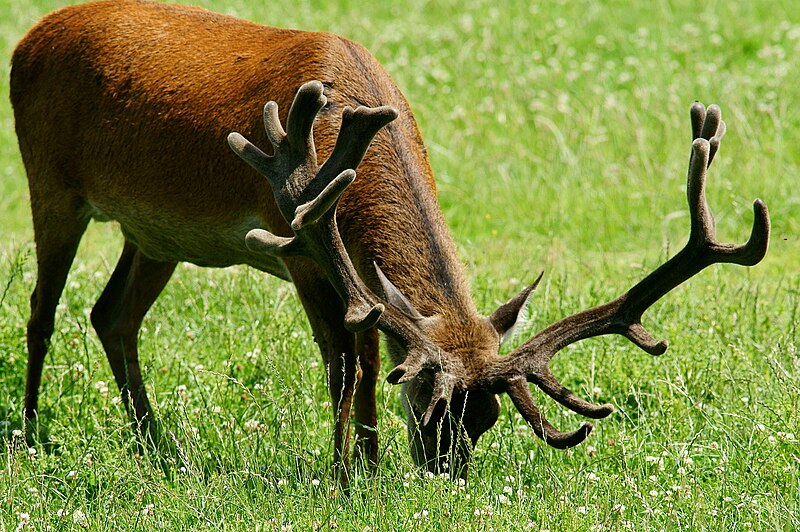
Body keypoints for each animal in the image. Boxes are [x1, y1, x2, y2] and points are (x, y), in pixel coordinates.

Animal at [10, 1, 768, 482]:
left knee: (112, 314)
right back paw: (30, 434)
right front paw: (349, 474)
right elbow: (346, 363)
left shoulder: (353, 281)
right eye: (431, 407)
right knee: (41, 311)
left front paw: (368, 468)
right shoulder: (299, 243)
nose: (445, 475)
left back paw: (156, 448)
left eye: (486, 418)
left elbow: (369, 355)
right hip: (50, 180)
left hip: (153, 234)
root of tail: (28, 38)